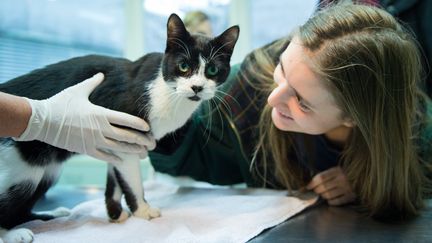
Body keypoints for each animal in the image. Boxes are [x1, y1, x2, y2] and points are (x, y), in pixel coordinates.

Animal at [0, 13, 240, 243]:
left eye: (212, 70)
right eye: (184, 66)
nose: (197, 87)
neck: (167, 91)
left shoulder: (116, 143)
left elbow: (115, 179)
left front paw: (115, 213)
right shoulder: (125, 135)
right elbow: (132, 181)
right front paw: (143, 211)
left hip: (48, 170)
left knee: (21, 209)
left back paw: (52, 214)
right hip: (24, 168)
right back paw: (13, 234)